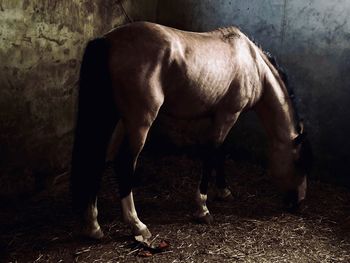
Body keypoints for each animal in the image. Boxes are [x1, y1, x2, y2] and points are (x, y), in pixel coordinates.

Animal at [70, 22, 312, 241]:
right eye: (300, 162)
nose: (299, 203)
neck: (253, 65)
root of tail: (108, 40)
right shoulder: (228, 115)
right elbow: (210, 155)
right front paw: (202, 209)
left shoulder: (220, 117)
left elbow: (220, 152)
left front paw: (223, 191)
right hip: (139, 122)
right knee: (123, 163)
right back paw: (136, 224)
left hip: (117, 118)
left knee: (99, 159)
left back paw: (93, 226)